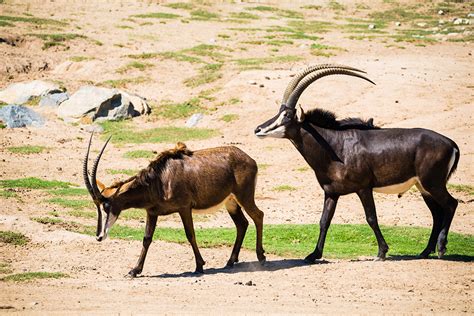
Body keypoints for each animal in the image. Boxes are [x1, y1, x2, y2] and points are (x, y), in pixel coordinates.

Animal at [83, 136, 264, 276]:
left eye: (106, 205)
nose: (99, 236)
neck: (158, 180)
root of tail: (250, 159)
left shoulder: (184, 208)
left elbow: (190, 235)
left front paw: (199, 266)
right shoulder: (152, 212)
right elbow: (146, 239)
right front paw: (134, 270)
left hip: (244, 197)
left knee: (258, 215)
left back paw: (261, 256)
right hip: (231, 203)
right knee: (242, 224)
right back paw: (230, 261)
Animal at [256, 63, 460, 262]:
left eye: (287, 116)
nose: (258, 129)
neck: (335, 146)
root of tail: (452, 144)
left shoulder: (363, 188)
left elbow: (371, 218)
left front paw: (382, 252)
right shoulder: (331, 193)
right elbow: (324, 221)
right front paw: (314, 255)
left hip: (433, 183)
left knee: (451, 204)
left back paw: (441, 248)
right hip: (423, 187)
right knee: (437, 213)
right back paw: (425, 252)